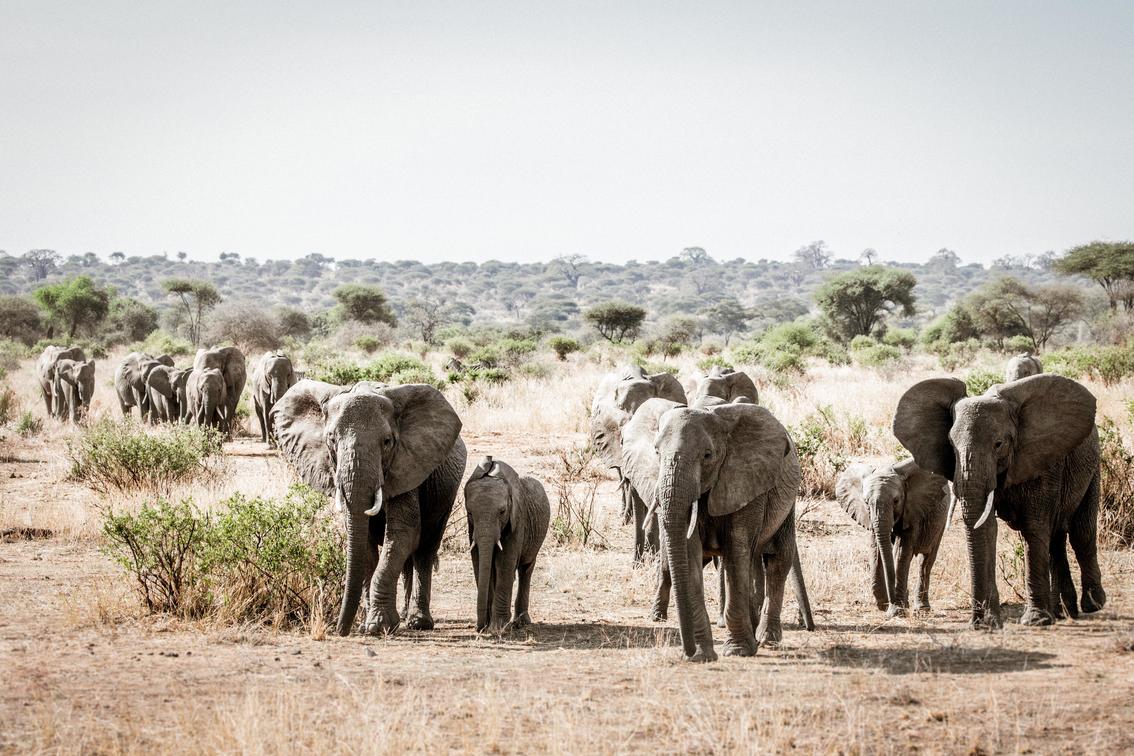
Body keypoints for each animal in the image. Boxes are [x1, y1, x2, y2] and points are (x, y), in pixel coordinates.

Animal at [271, 380, 466, 636]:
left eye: (387, 442)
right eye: (331, 440)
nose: (340, 630)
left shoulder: (408, 464)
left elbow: (403, 533)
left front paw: (379, 626)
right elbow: (364, 545)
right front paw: (367, 625)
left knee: (425, 549)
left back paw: (418, 623)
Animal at [464, 456, 550, 633]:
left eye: (502, 512)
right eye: (469, 513)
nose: (479, 628)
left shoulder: (518, 519)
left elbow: (504, 563)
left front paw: (498, 628)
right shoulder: (472, 527)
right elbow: (478, 561)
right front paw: (490, 625)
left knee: (526, 568)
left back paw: (521, 622)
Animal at [621, 397, 805, 661]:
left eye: (708, 455)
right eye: (656, 452)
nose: (686, 652)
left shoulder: (746, 478)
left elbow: (737, 550)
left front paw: (738, 651)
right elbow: (690, 554)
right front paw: (701, 654)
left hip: (786, 496)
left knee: (778, 559)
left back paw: (767, 638)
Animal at [836, 459, 948, 615]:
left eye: (896, 501)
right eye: (866, 502)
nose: (891, 607)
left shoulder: (912, 511)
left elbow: (901, 553)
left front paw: (897, 610)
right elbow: (876, 550)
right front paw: (884, 606)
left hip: (941, 521)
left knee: (926, 560)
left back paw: (922, 608)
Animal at [893, 374, 1105, 628]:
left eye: (999, 444)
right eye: (951, 446)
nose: (976, 622)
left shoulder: (1041, 462)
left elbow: (1033, 529)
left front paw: (1035, 621)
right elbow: (987, 528)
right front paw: (991, 621)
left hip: (1092, 466)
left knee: (1081, 532)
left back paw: (1092, 605)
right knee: (1056, 538)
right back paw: (1063, 612)